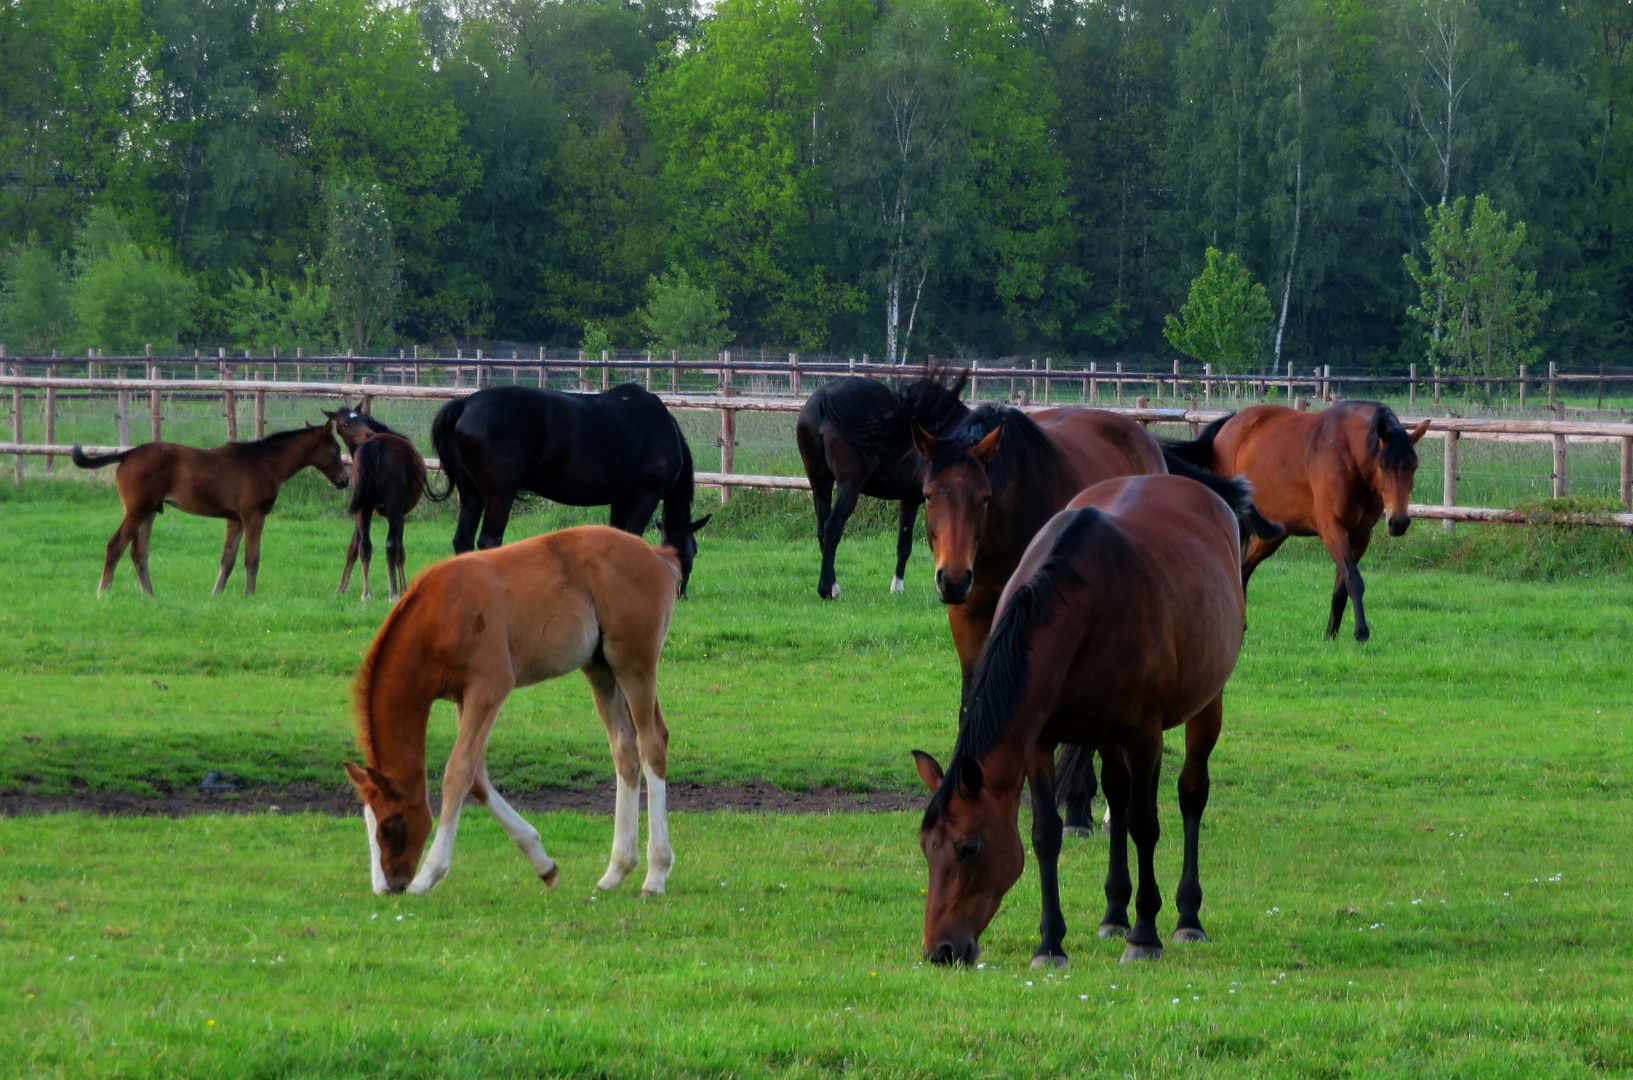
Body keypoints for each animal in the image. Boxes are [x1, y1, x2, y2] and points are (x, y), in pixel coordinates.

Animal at [74, 424, 351, 598]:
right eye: (337, 449)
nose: (345, 481)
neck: (265, 462)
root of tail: (128, 454)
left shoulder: (235, 519)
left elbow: (228, 560)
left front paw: (216, 594)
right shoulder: (254, 516)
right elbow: (252, 559)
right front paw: (250, 595)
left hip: (149, 511)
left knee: (139, 552)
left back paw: (149, 595)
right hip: (136, 510)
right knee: (116, 545)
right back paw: (103, 592)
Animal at [347, 526, 679, 895]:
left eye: (390, 826)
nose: (388, 887)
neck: (436, 617)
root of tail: (658, 555)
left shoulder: (489, 687)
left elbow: (458, 773)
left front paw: (428, 875)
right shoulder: (465, 697)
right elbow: (477, 776)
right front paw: (544, 864)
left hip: (634, 664)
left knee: (652, 745)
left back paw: (655, 875)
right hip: (602, 669)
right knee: (625, 750)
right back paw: (616, 871)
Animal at [427, 385, 708, 594]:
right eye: (693, 551)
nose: (681, 594)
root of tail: (464, 403)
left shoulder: (620, 499)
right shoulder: (645, 496)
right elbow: (633, 535)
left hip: (471, 497)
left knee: (463, 540)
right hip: (499, 496)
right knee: (489, 541)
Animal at [793, 365, 966, 594]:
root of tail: (825, 397)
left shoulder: (909, 499)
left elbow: (904, 544)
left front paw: (897, 587)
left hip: (820, 485)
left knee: (822, 532)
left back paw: (832, 584)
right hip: (848, 486)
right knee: (832, 528)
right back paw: (828, 589)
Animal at [914, 477, 1241, 967]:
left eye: (969, 847)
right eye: (926, 848)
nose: (941, 950)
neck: (1083, 605)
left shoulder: (1144, 735)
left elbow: (1145, 824)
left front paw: (1145, 936)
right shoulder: (1039, 740)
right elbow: (1046, 832)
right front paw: (1050, 943)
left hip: (1205, 706)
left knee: (1190, 795)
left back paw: (1186, 918)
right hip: (1104, 732)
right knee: (1117, 794)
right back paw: (1114, 913)